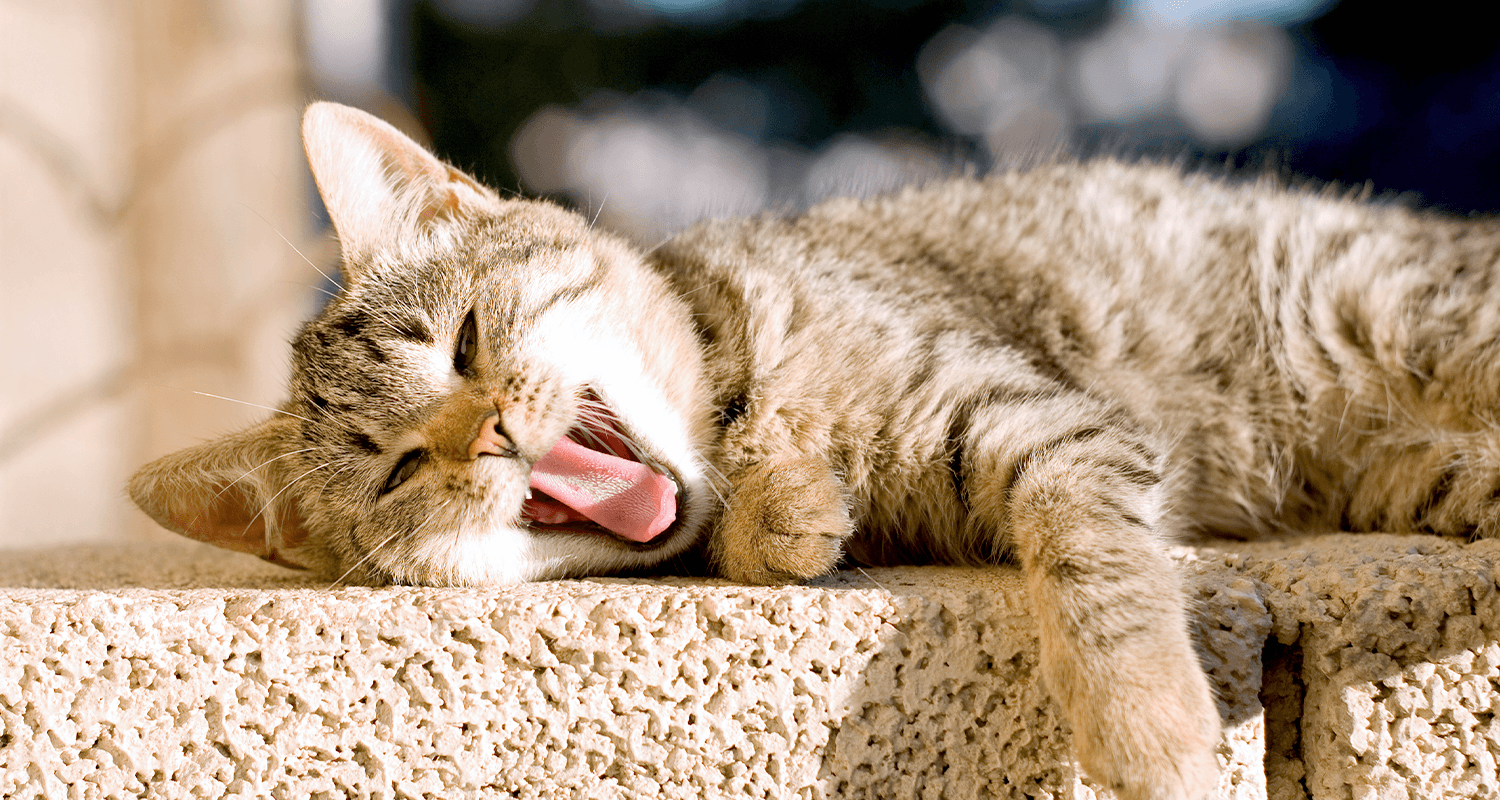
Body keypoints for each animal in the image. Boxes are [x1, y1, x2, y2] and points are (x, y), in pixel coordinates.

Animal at [132, 101, 1500, 798]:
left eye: (465, 340)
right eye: (400, 469)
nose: (495, 432)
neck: (744, 399)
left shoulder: (1042, 419)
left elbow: (1098, 575)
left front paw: (1150, 731)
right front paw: (787, 520)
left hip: (1397, 308)